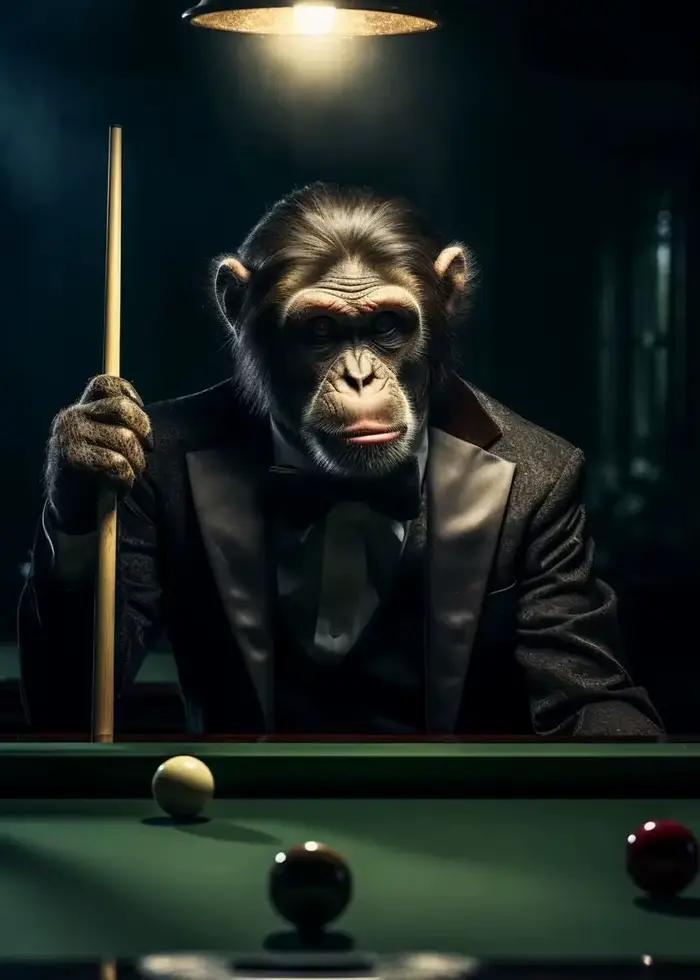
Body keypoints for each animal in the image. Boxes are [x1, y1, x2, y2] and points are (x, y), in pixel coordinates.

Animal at [21, 183, 662, 738]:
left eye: (387, 326)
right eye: (321, 331)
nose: (359, 377)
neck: (344, 489)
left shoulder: (559, 503)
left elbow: (591, 688)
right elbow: (66, 694)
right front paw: (86, 451)